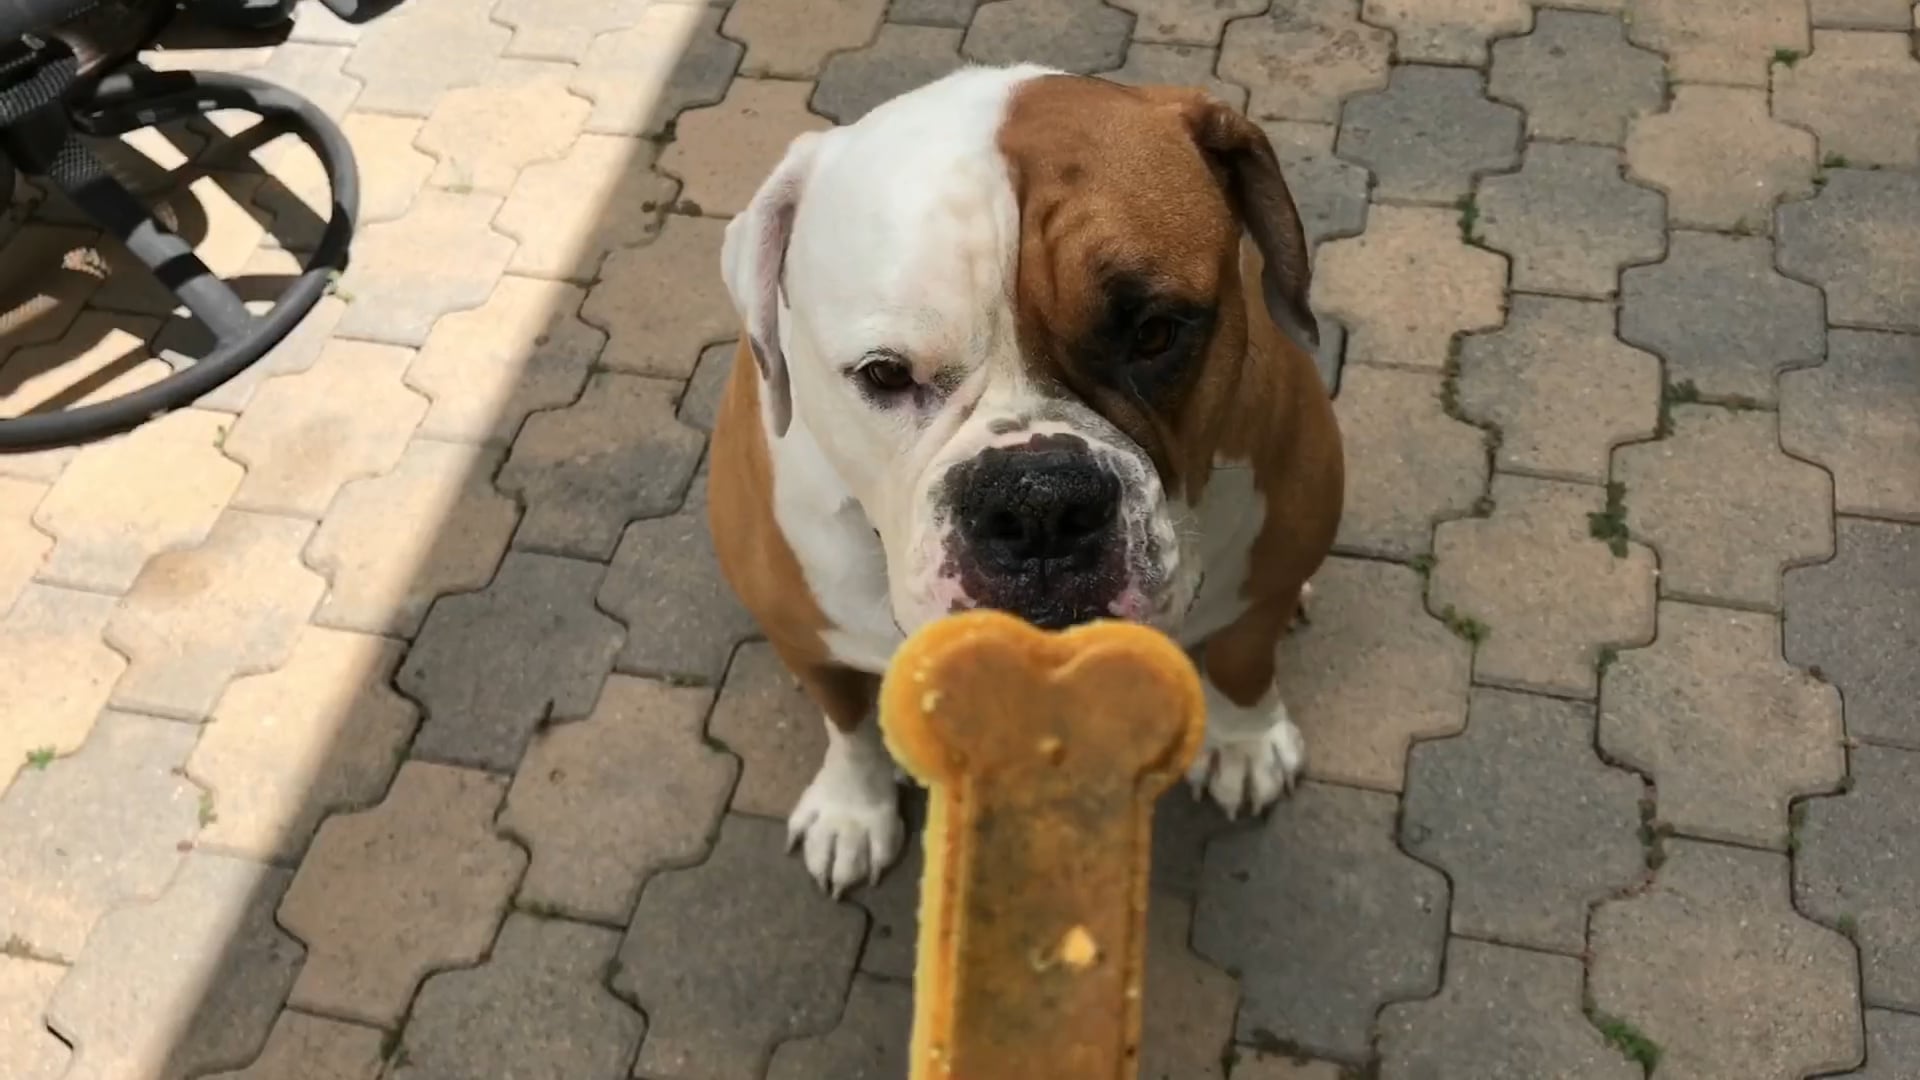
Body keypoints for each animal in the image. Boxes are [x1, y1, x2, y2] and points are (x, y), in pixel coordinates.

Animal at [706, 62, 1351, 895]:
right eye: (884, 375)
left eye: (1155, 333)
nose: (1039, 504)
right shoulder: (805, 631)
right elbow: (846, 719)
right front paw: (852, 809)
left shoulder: (1272, 551)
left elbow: (1245, 655)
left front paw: (1244, 741)